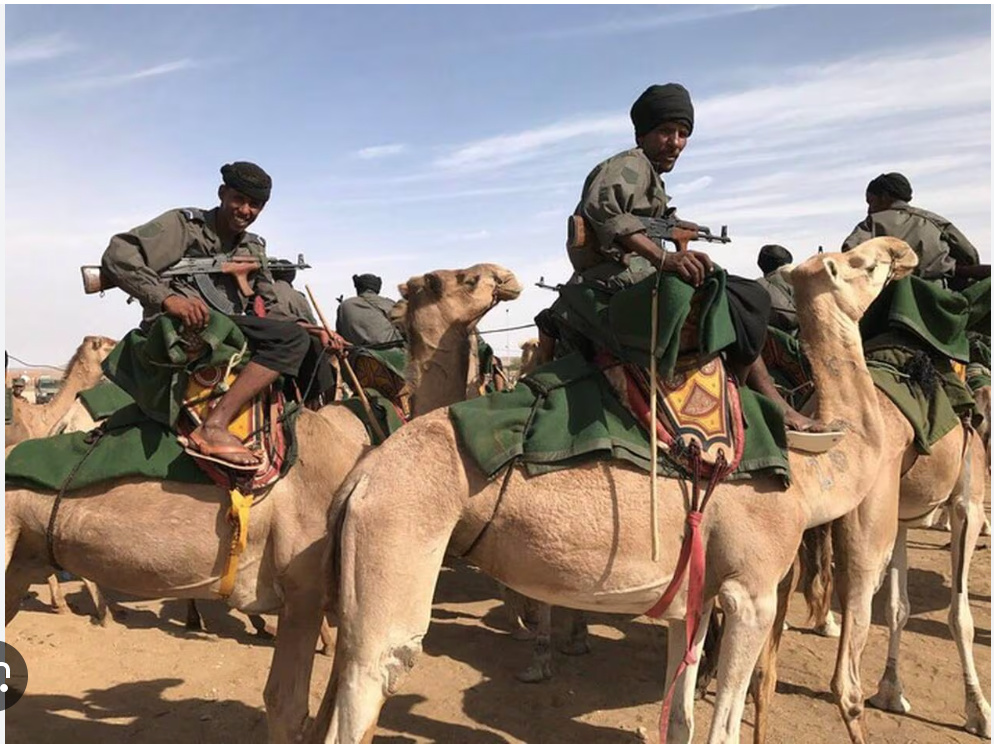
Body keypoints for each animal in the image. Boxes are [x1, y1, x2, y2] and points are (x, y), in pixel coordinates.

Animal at [314, 240, 920, 744]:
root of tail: (362, 478)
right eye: (862, 264)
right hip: (394, 550)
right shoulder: (752, 591)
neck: (812, 470)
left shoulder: (697, 596)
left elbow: (681, 722)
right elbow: (721, 730)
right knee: (372, 680)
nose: (903, 251)